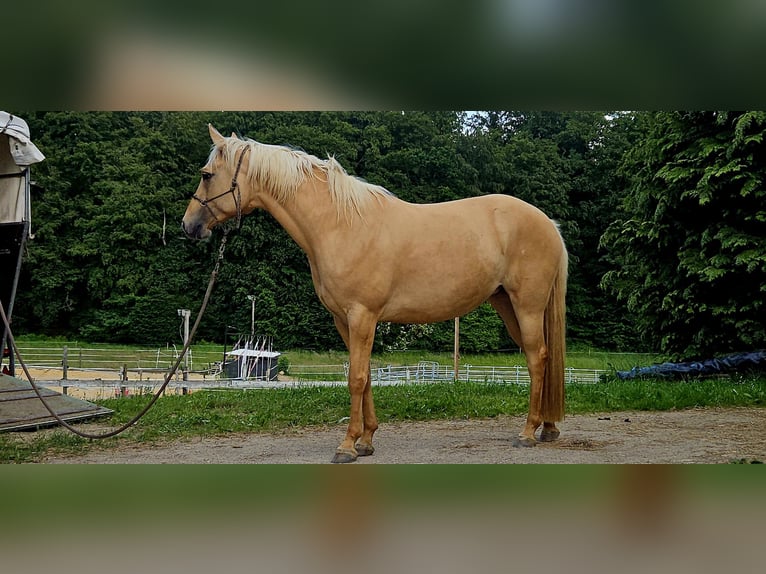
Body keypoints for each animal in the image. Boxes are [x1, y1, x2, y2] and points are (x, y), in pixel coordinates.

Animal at [182, 124, 568, 463]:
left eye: (206, 174)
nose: (189, 226)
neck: (340, 224)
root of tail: (548, 224)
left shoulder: (362, 314)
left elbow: (356, 378)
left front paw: (347, 446)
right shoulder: (345, 320)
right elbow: (364, 375)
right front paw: (366, 440)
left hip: (526, 306)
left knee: (537, 359)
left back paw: (527, 432)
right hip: (507, 304)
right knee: (543, 358)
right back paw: (548, 428)